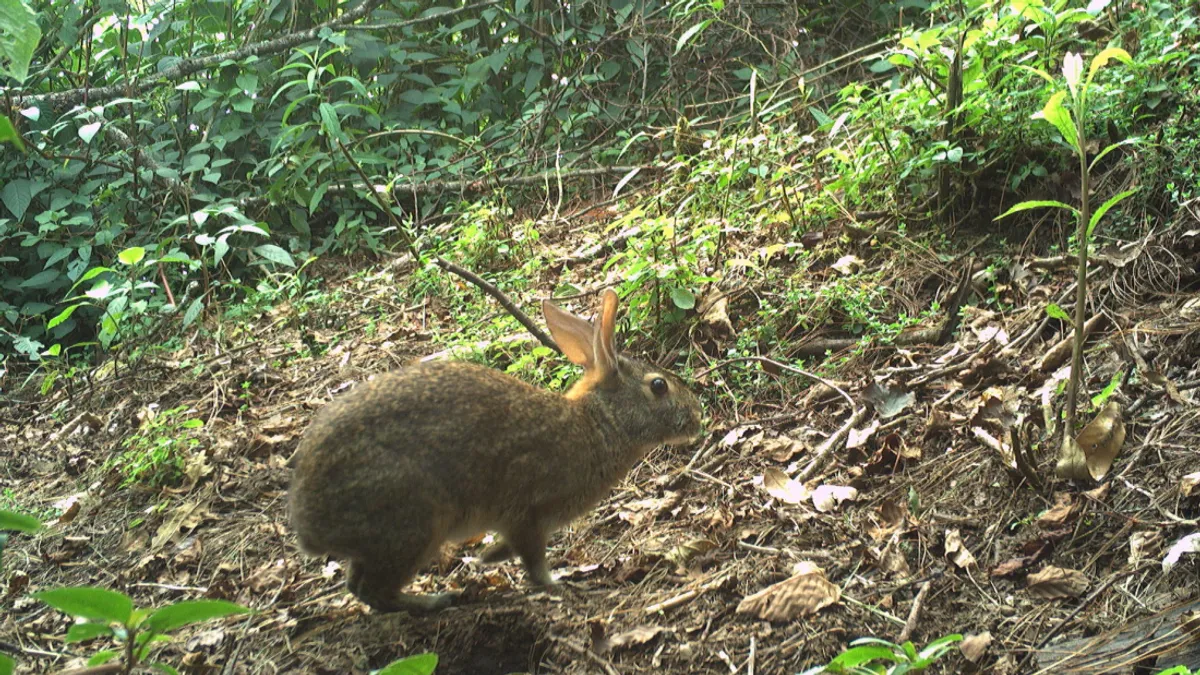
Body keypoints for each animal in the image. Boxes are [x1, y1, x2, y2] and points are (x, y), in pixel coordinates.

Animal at [288, 289, 704, 613]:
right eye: (659, 386)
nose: (697, 417)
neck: (599, 423)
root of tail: (309, 524)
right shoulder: (530, 513)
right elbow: (534, 561)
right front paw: (558, 583)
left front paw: (486, 557)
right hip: (415, 522)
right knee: (373, 588)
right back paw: (435, 601)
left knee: (358, 585)